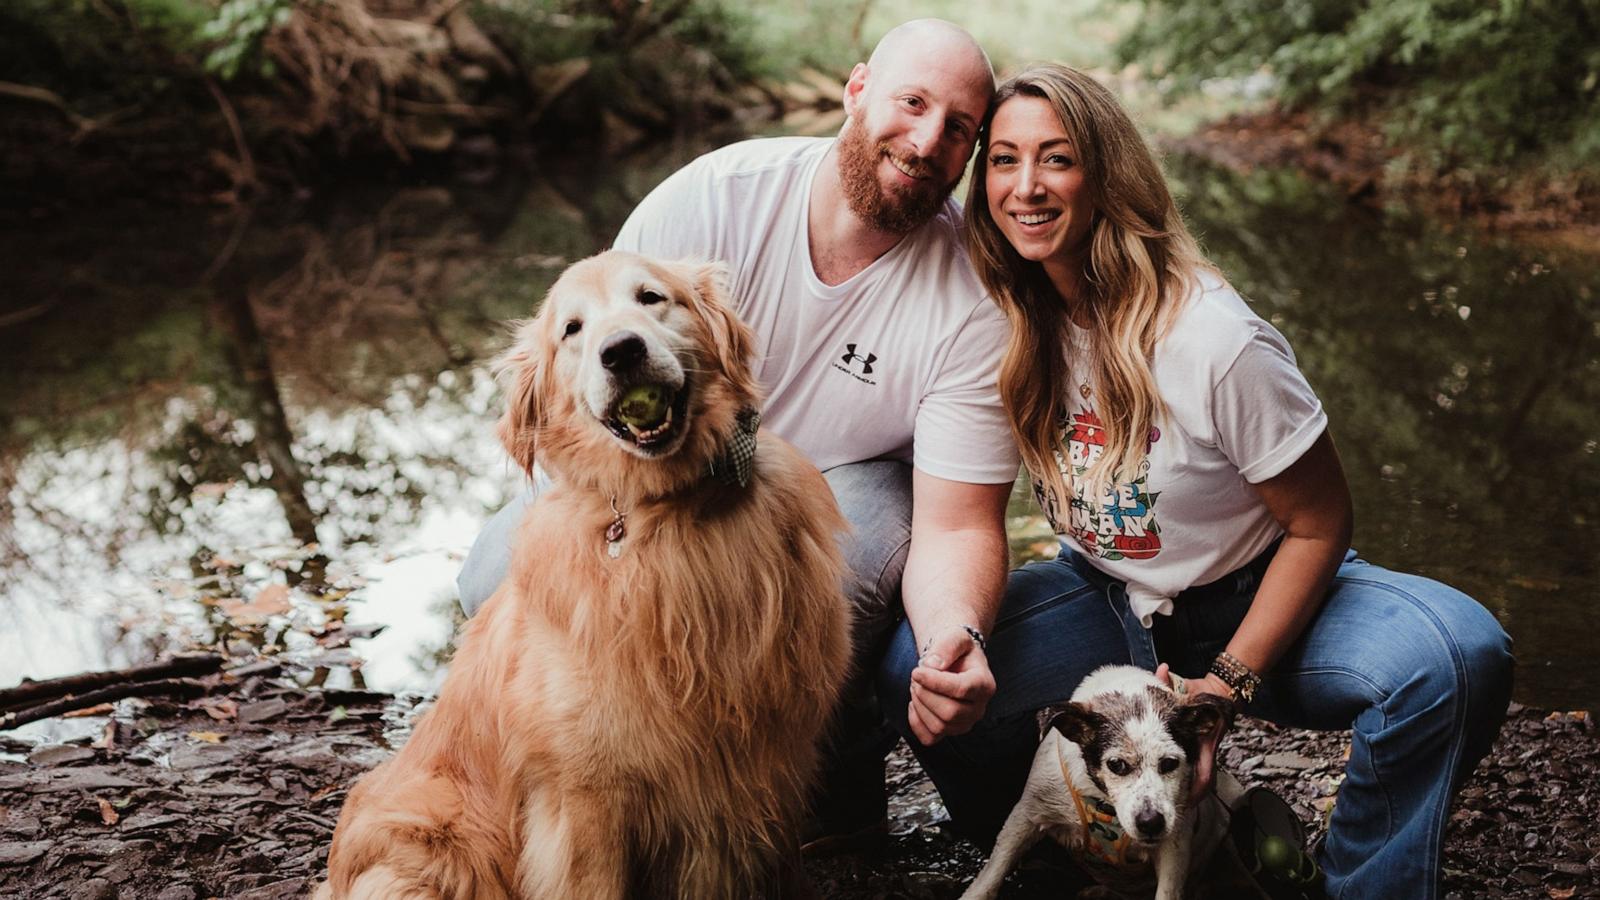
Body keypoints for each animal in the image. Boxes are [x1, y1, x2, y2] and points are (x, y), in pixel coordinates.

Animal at [953, 659, 1241, 896]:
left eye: (1170, 763)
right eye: (1116, 765)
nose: (1150, 823)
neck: (1103, 801)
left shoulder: (1175, 845)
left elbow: (1168, 890)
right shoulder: (1026, 816)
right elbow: (991, 876)